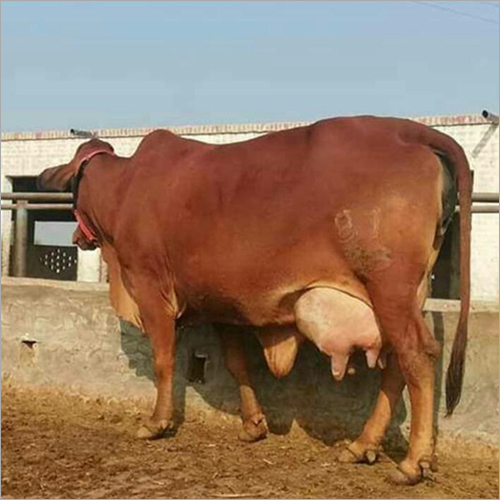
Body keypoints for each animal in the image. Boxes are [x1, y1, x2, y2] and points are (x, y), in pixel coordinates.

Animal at [37, 117, 470, 484]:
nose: (75, 236)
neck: (124, 188)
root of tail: (406, 130)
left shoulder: (149, 287)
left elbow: (164, 359)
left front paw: (156, 422)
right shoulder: (222, 305)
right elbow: (236, 363)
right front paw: (253, 424)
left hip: (389, 288)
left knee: (418, 356)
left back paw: (411, 463)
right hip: (401, 297)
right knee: (397, 363)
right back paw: (362, 446)